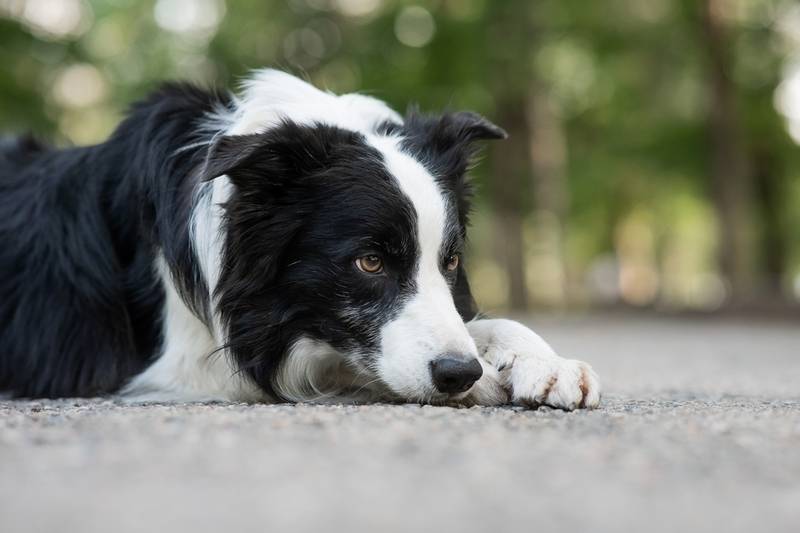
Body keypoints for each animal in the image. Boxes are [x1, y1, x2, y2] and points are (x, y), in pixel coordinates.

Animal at [0, 70, 600, 410]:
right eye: (369, 262)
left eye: (450, 261)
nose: (458, 375)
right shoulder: (182, 362)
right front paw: (486, 382)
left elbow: (475, 324)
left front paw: (546, 363)